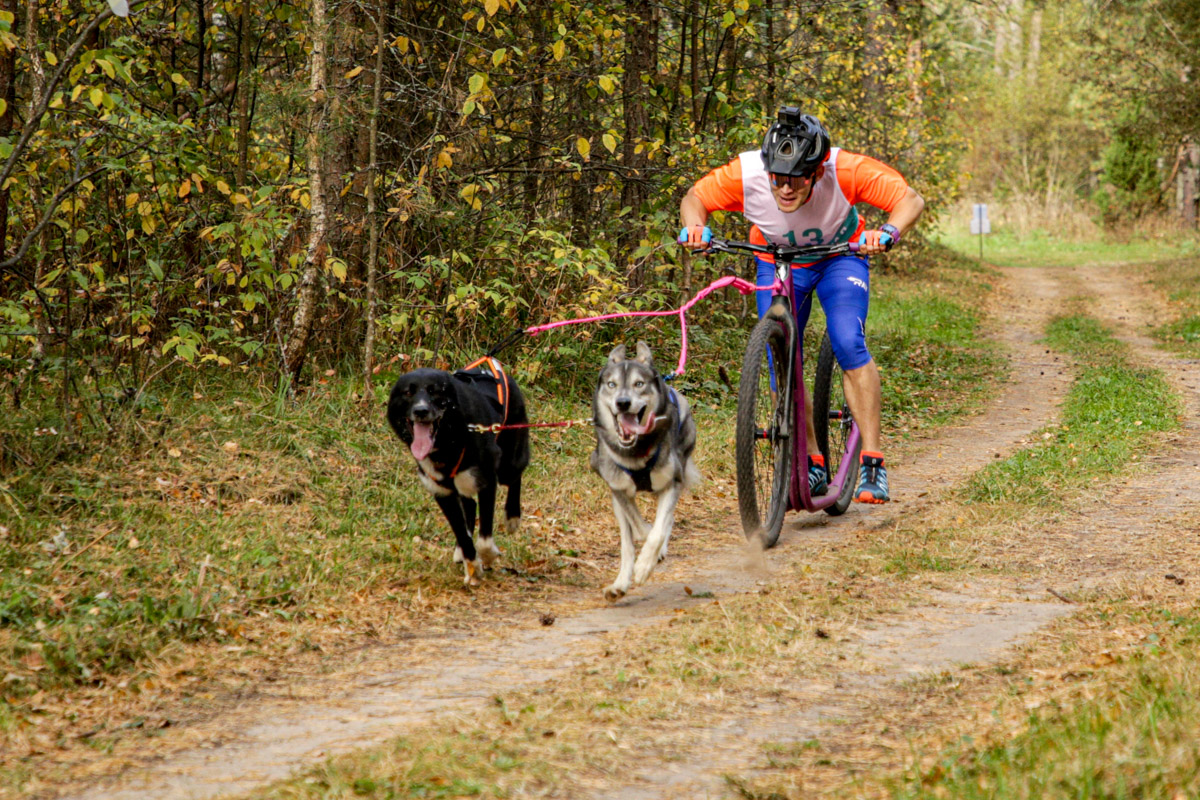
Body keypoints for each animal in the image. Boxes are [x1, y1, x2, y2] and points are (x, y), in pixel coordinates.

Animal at [388, 359, 530, 585]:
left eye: (434, 391)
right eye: (408, 392)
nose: (421, 410)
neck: (449, 441)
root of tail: (492, 364)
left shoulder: (487, 481)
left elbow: (484, 540)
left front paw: (487, 557)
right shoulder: (442, 493)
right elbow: (462, 534)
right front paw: (472, 566)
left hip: (510, 462)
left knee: (515, 478)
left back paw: (512, 517)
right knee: (469, 506)